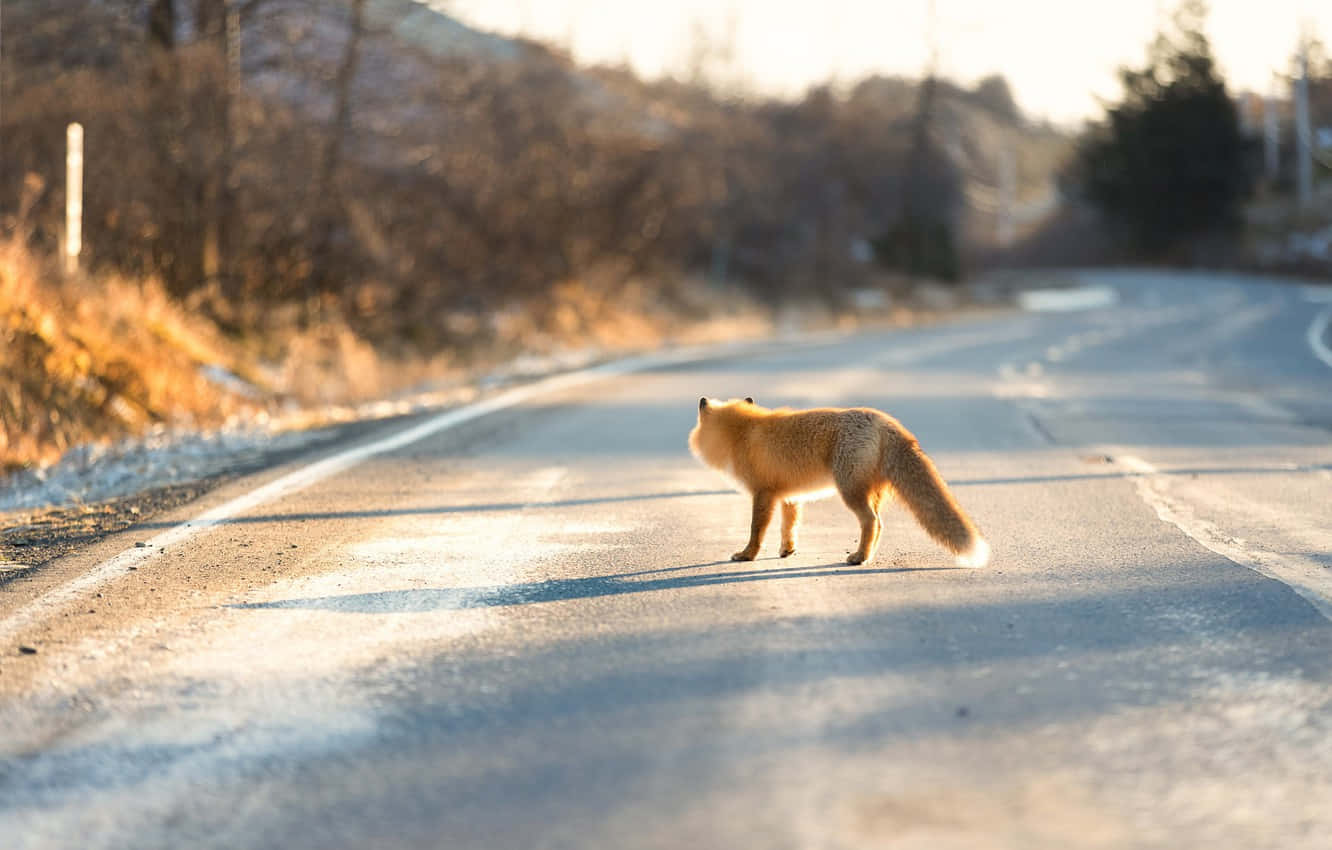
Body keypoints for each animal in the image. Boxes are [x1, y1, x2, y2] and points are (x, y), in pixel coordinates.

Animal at [688, 397, 989, 567]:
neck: (744, 433)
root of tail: (883, 420)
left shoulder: (763, 494)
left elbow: (756, 531)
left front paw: (747, 555)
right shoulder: (788, 496)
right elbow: (789, 527)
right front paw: (787, 551)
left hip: (850, 491)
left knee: (871, 521)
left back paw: (859, 558)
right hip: (870, 491)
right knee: (880, 524)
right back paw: (867, 555)